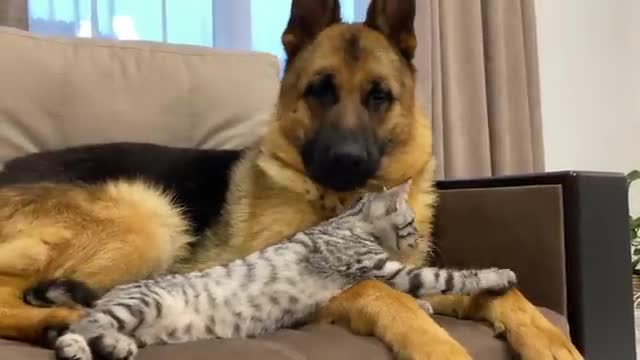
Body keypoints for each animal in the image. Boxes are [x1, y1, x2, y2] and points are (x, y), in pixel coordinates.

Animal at [53, 183, 516, 360]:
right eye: (412, 223)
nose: (420, 239)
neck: (346, 221)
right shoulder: (379, 267)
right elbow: (445, 277)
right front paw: (496, 275)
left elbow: (423, 291)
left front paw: (427, 306)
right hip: (136, 305)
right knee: (81, 325)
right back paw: (77, 347)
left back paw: (116, 347)